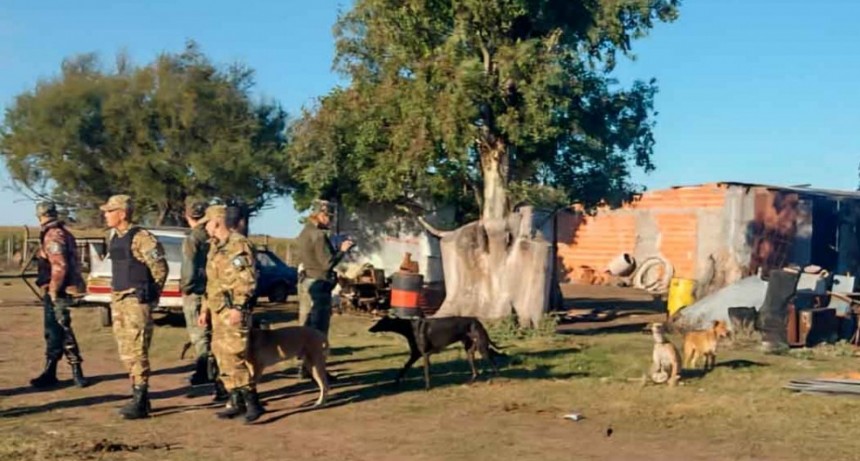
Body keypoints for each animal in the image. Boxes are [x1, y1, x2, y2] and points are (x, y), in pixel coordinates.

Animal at [368, 316, 504, 388]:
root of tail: (478, 321)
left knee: (494, 364)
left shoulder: (424, 354)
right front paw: (396, 381)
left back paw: (496, 379)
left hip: (482, 348)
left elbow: (426, 372)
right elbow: (405, 367)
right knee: (476, 372)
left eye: (380, 322)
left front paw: (427, 387)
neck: (410, 327)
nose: (370, 329)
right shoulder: (416, 355)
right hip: (470, 351)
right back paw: (469, 382)